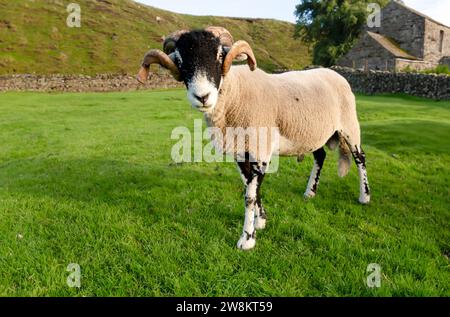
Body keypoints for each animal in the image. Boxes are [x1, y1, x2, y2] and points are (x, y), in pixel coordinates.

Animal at [136, 26, 370, 249]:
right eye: (180, 60)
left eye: (219, 55)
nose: (202, 97)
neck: (235, 94)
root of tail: (335, 74)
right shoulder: (241, 153)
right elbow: (251, 189)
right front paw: (261, 221)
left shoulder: (260, 150)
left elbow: (249, 195)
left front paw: (247, 239)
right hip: (310, 133)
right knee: (320, 156)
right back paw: (310, 193)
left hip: (349, 125)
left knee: (360, 158)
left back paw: (364, 196)